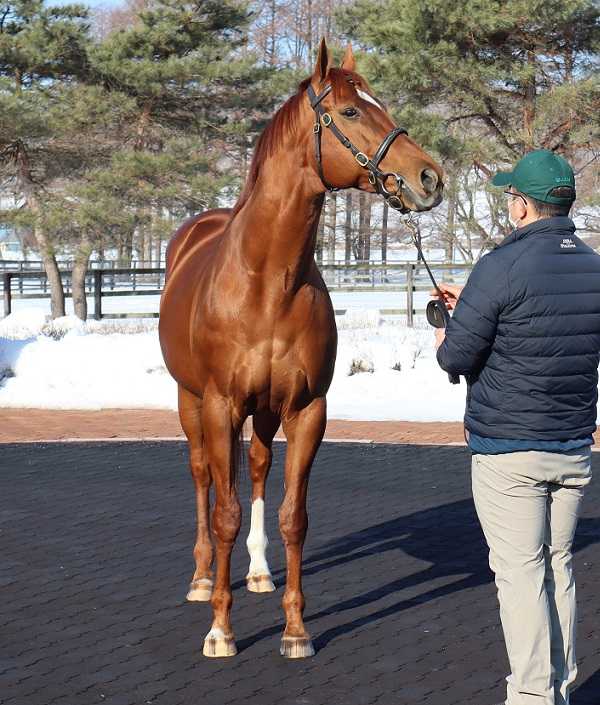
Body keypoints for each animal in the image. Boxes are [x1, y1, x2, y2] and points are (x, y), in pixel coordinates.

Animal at [161, 41, 446, 660]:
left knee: (258, 468)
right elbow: (224, 512)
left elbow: (294, 516)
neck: (268, 280)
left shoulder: (307, 409)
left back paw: (258, 573)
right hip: (192, 402)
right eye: (351, 111)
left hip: (266, 412)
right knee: (202, 476)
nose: (429, 177)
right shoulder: (220, 405)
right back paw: (202, 580)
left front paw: (295, 628)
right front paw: (221, 630)